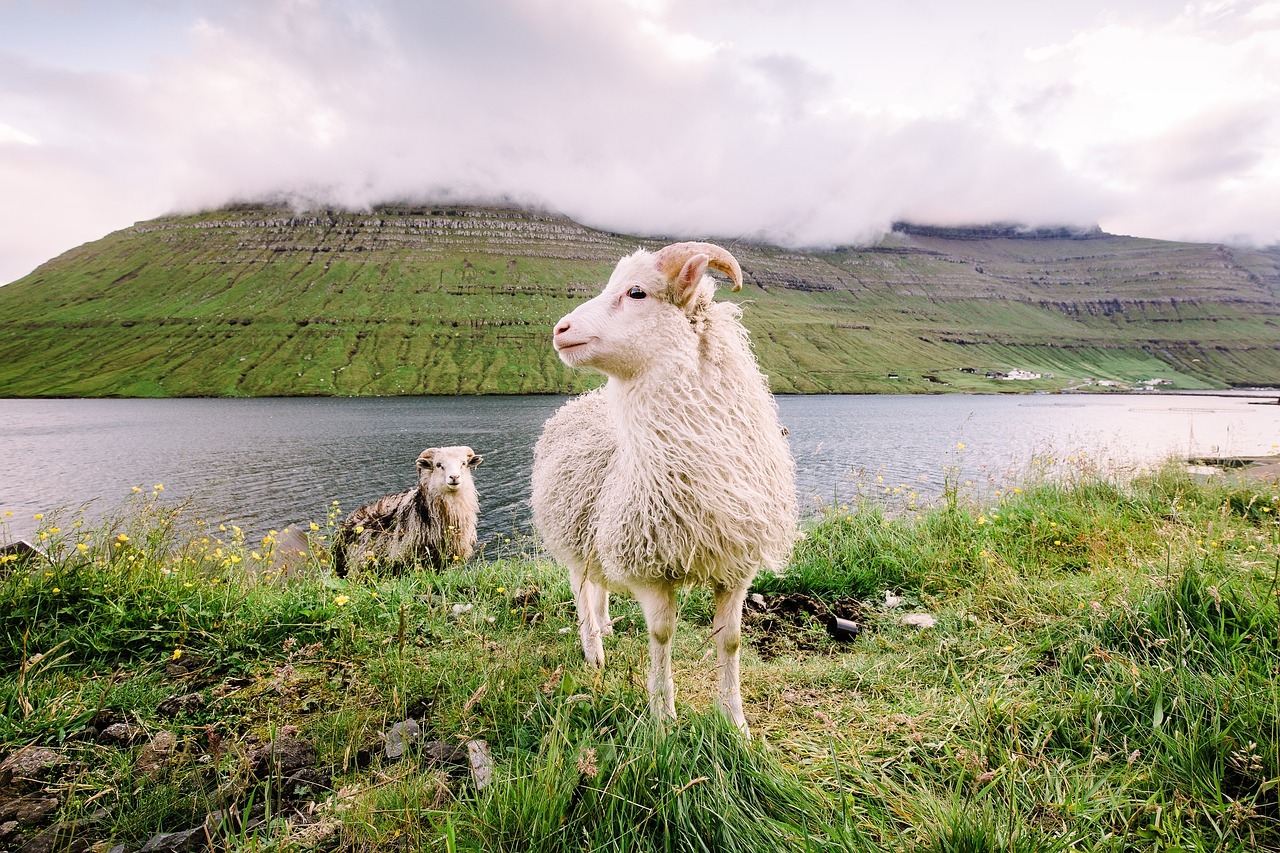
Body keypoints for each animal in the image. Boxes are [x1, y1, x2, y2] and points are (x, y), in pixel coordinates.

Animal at [531, 242, 797, 734]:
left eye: (636, 292)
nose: (560, 330)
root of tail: (579, 402)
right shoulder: (649, 567)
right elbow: (662, 635)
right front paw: (663, 718)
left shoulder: (737, 566)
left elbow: (730, 641)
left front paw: (736, 723)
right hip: (574, 537)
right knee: (581, 593)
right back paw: (594, 650)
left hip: (598, 532)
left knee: (598, 588)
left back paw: (606, 627)